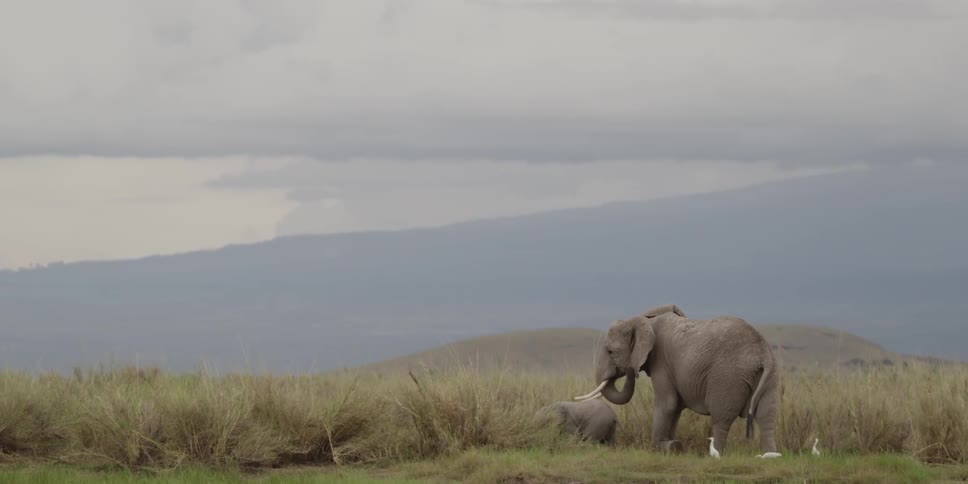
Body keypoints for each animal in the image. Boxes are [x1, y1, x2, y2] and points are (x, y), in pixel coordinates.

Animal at [574, 304, 779, 455]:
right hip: (769, 376)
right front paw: (672, 444)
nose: (631, 370)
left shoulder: (661, 362)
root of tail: (762, 352)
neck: (644, 320)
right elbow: (676, 407)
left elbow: (667, 404)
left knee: (721, 418)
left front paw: (661, 447)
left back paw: (717, 455)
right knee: (766, 416)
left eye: (610, 351)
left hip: (728, 377)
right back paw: (769, 456)